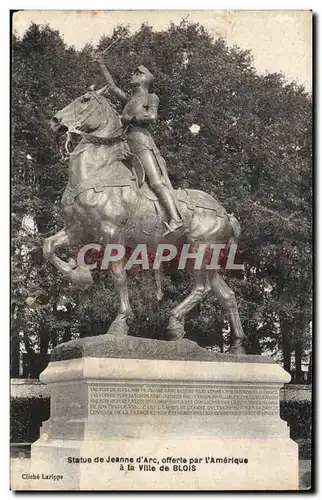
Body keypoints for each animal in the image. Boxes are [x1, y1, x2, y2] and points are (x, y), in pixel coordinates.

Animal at [44, 91, 247, 356]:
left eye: (85, 99)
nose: (56, 121)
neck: (95, 174)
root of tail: (225, 213)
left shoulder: (111, 234)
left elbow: (119, 276)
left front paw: (120, 323)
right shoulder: (78, 231)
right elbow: (48, 247)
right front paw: (80, 275)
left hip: (200, 251)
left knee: (201, 288)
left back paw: (174, 323)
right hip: (204, 258)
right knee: (226, 294)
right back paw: (237, 346)